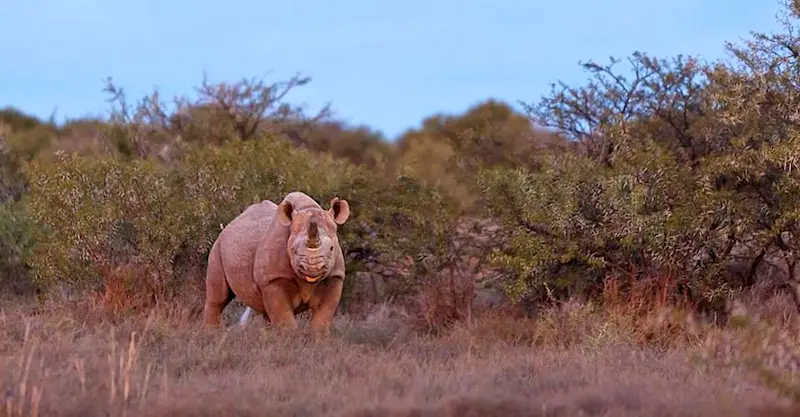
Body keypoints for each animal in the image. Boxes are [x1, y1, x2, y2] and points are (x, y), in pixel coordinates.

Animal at [202, 191, 350, 335]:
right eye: (293, 250)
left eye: (332, 248)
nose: (312, 268)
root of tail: (229, 225)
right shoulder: (273, 279)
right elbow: (285, 321)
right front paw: (287, 340)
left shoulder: (335, 276)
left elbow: (322, 319)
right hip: (218, 246)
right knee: (218, 299)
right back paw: (210, 334)